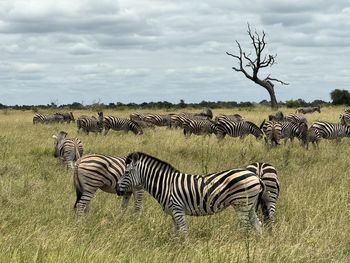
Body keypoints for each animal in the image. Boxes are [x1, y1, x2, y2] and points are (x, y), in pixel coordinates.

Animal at [116, 153, 266, 235]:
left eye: (126, 172)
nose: (117, 189)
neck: (165, 184)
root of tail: (255, 176)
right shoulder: (173, 213)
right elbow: (175, 233)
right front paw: (174, 249)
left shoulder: (178, 210)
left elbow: (184, 232)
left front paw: (187, 250)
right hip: (249, 205)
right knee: (257, 225)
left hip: (241, 204)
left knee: (246, 228)